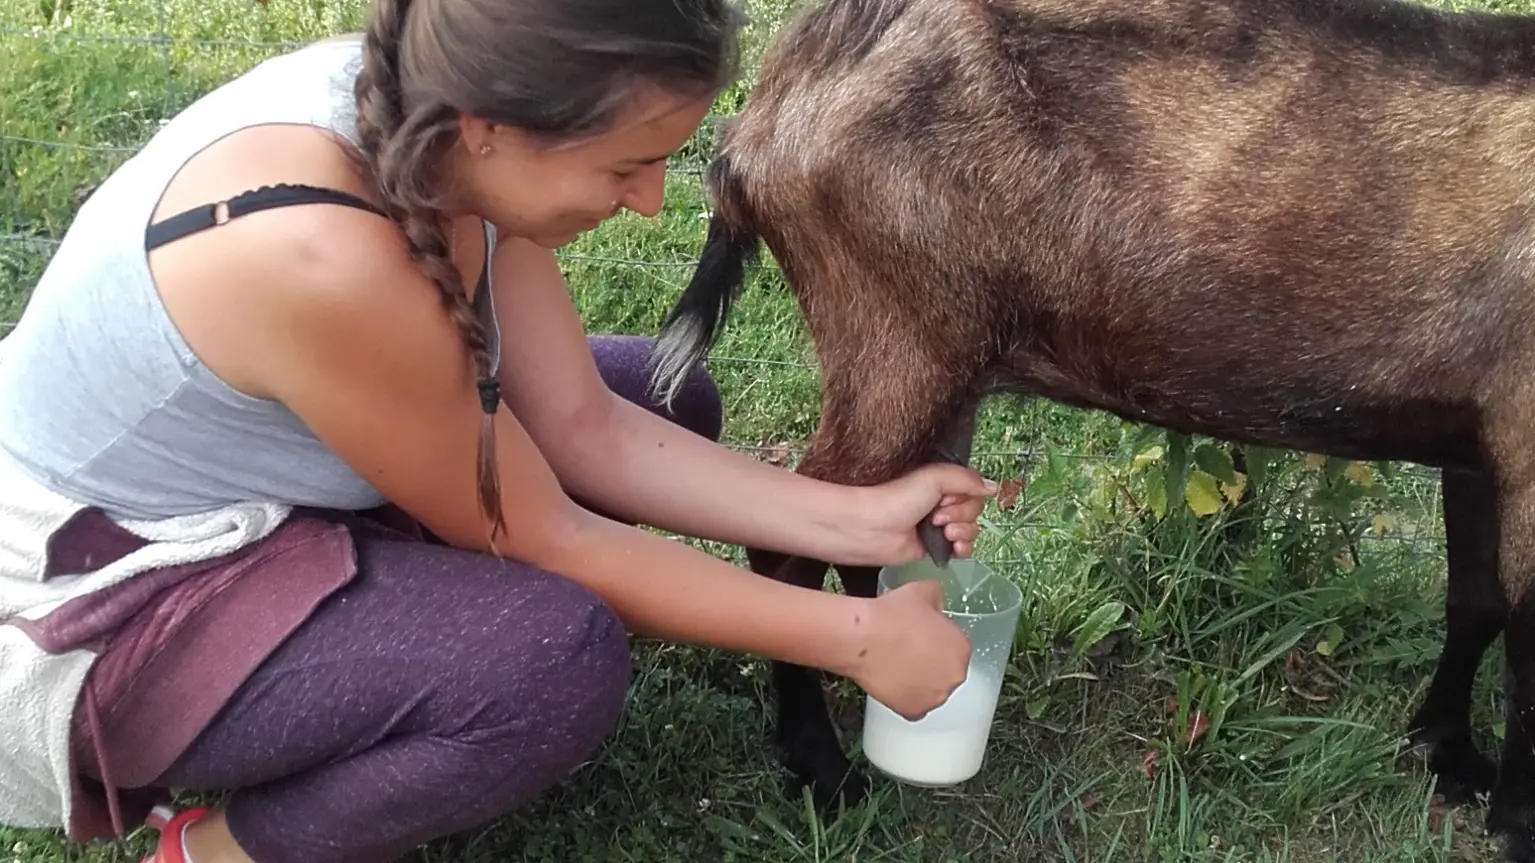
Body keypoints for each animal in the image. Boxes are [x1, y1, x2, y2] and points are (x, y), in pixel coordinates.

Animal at [647, 0, 1535, 853]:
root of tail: (766, 112)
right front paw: (1512, 823)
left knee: (870, 537)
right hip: (893, 341)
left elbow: (1478, 602)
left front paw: (1450, 756)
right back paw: (825, 769)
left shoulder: (1479, 442)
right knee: (789, 548)